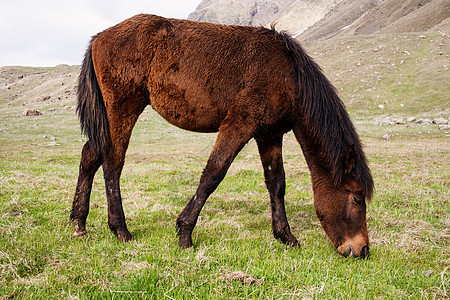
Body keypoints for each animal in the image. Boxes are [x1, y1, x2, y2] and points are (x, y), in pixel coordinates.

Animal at [70, 14, 372, 258]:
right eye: (357, 198)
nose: (362, 250)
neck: (287, 74)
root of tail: (99, 37)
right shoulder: (239, 124)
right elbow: (213, 174)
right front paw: (184, 233)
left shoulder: (269, 135)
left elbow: (277, 183)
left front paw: (286, 236)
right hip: (122, 110)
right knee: (112, 163)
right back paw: (120, 230)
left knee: (89, 157)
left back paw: (78, 225)